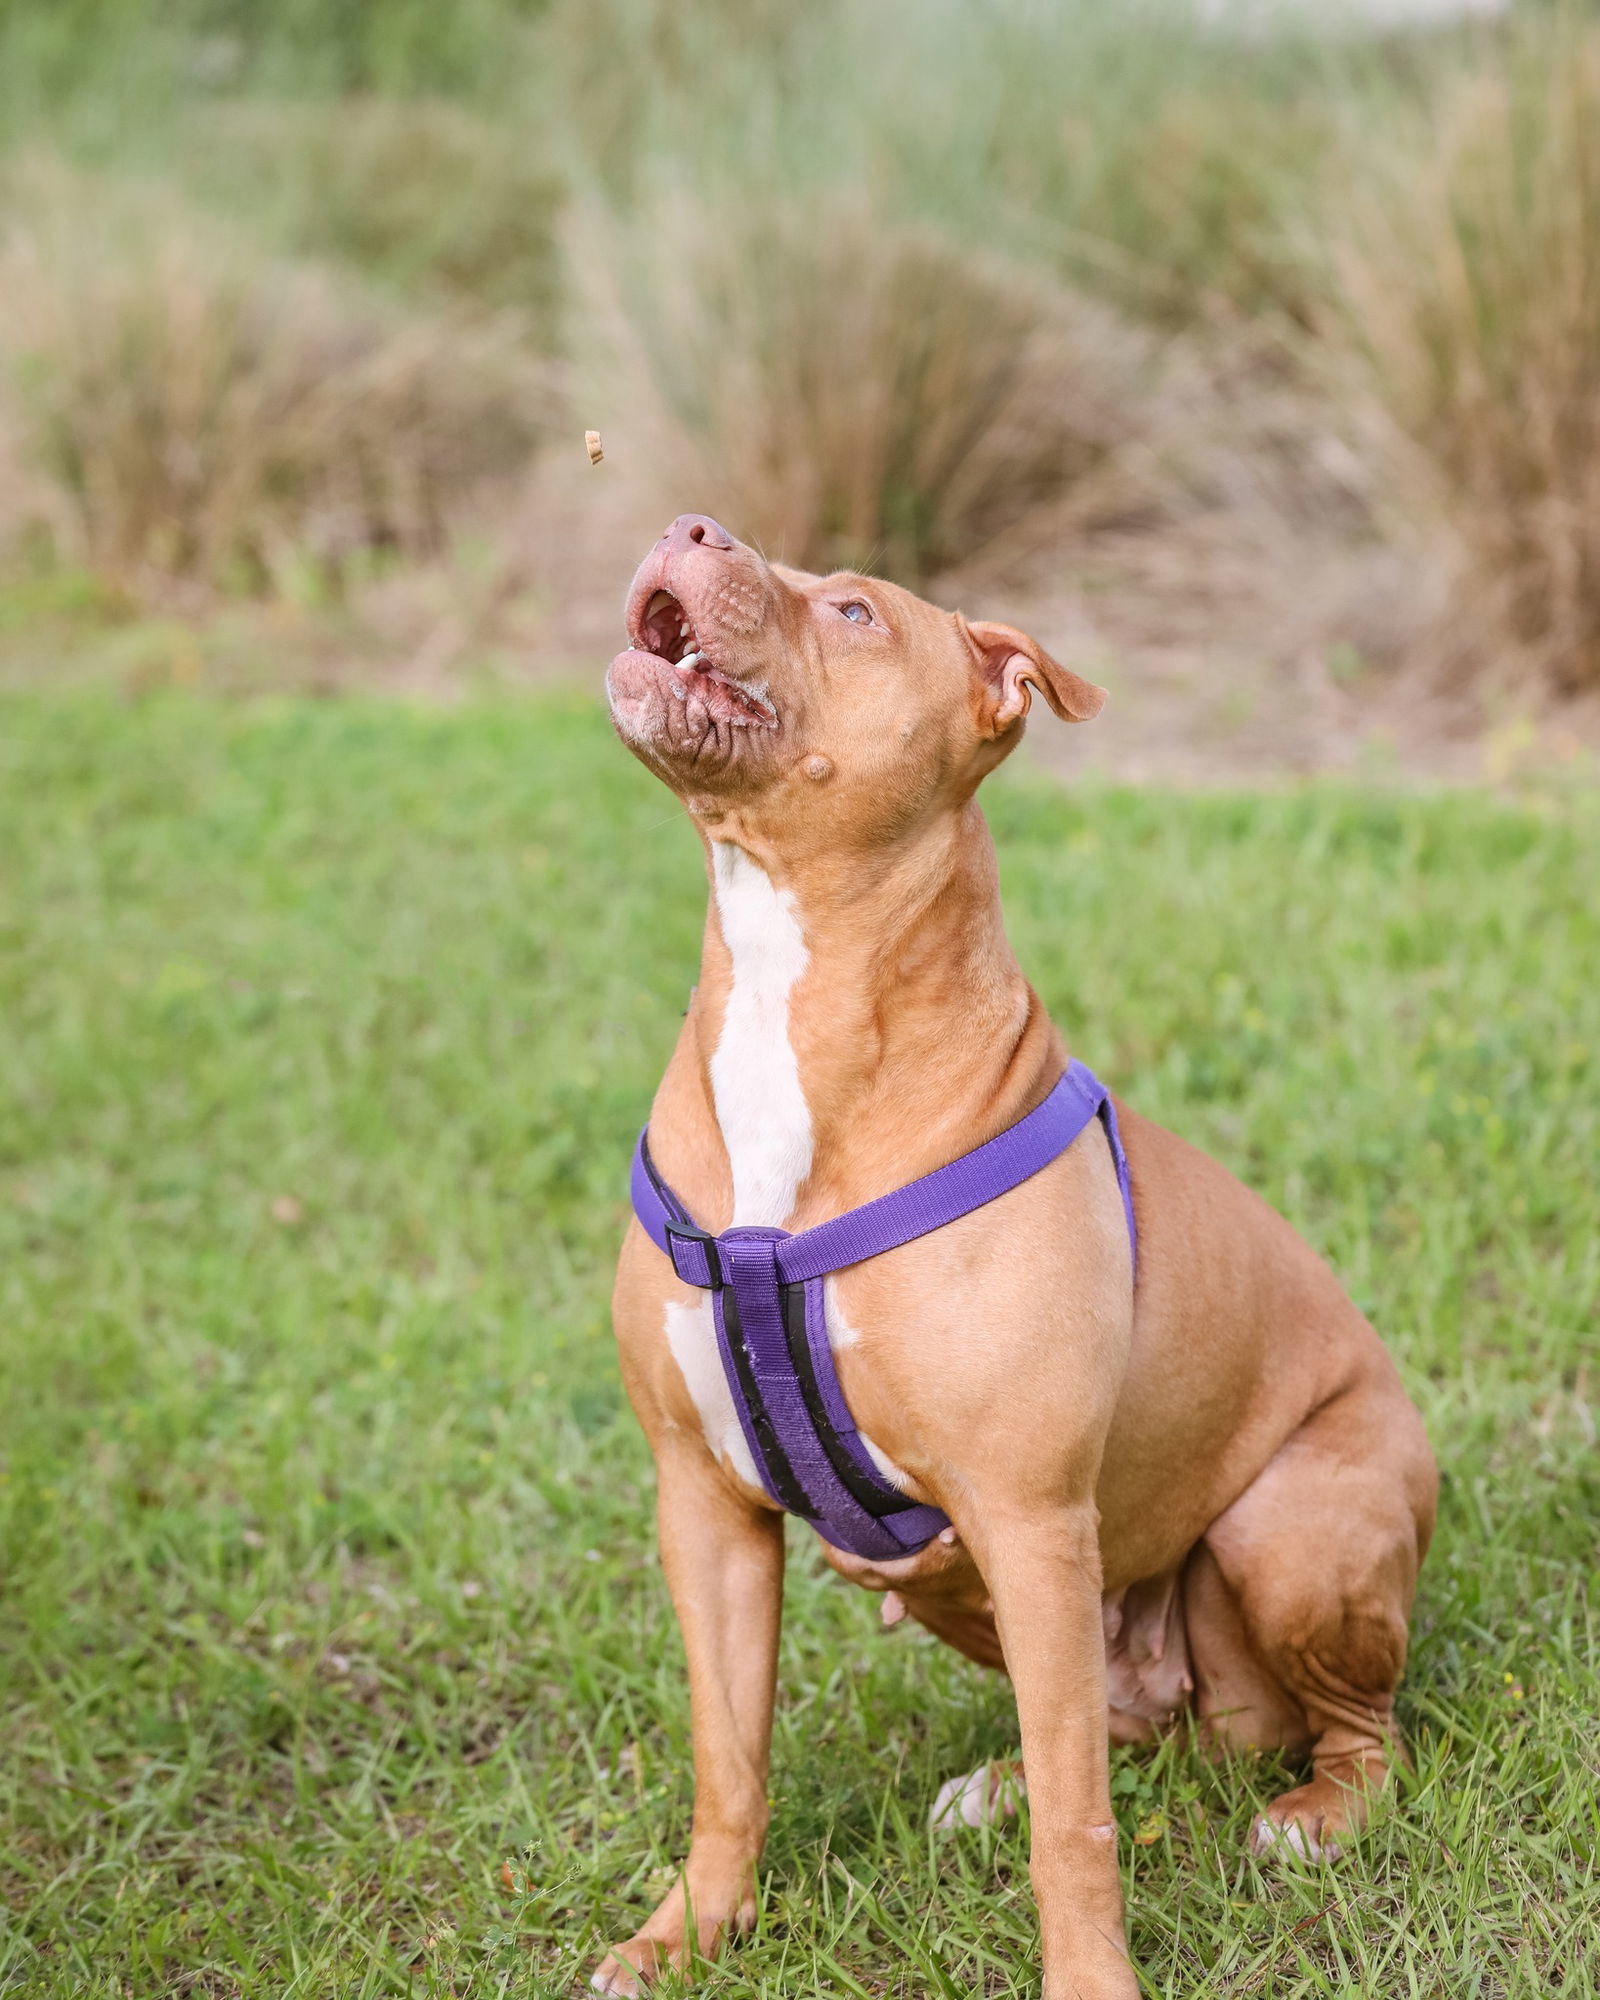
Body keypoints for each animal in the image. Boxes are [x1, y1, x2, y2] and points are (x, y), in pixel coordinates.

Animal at [592, 516, 1440, 2000]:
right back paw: (1000, 1782)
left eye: (856, 610)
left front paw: (1090, 1980)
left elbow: (1080, 1832)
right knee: (1124, 1731)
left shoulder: (1034, 1516)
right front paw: (689, 1932)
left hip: (1287, 1530)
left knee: (1351, 1728)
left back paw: (1318, 1816)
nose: (690, 524)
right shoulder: (702, 1501)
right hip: (976, 1585)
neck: (789, 980)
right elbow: (726, 1758)